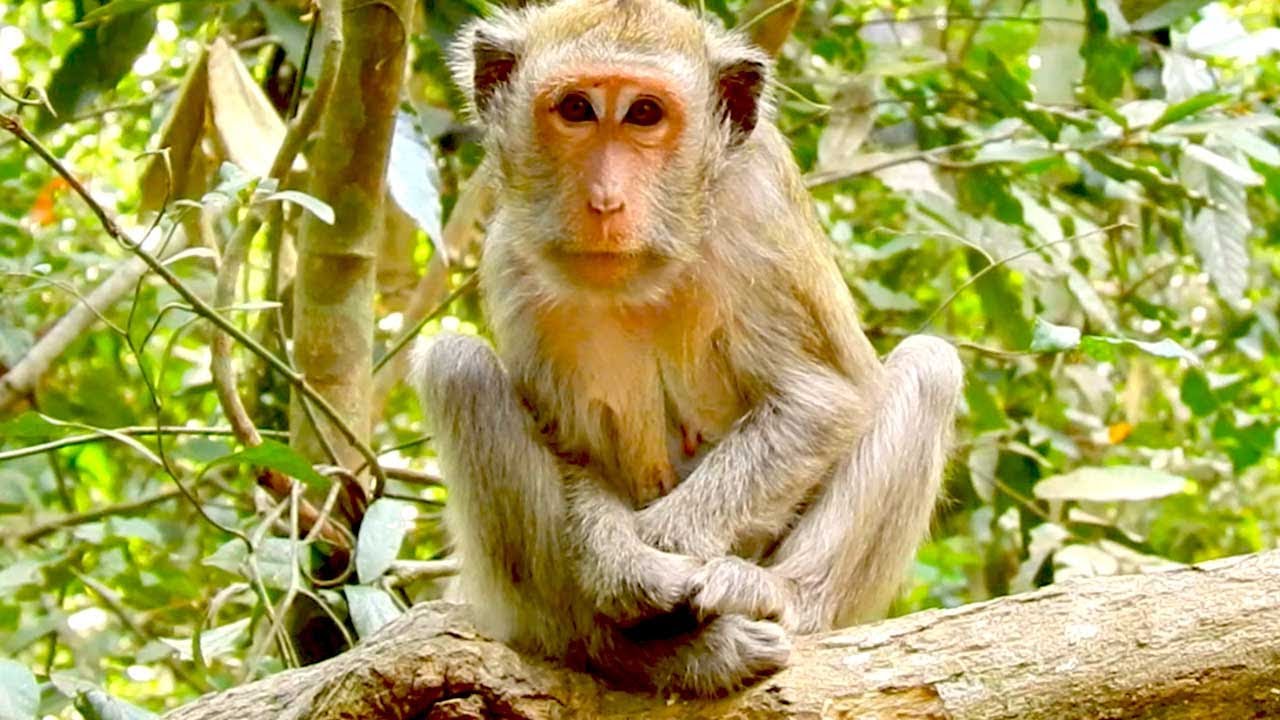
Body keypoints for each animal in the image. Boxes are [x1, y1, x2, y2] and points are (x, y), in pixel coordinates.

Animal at [413, 0, 964, 696]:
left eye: (645, 113)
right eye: (576, 109)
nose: (604, 201)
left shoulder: (759, 214)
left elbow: (823, 398)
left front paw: (663, 545)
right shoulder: (512, 254)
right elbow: (571, 446)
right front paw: (624, 566)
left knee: (929, 367)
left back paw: (781, 595)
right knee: (456, 369)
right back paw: (642, 652)